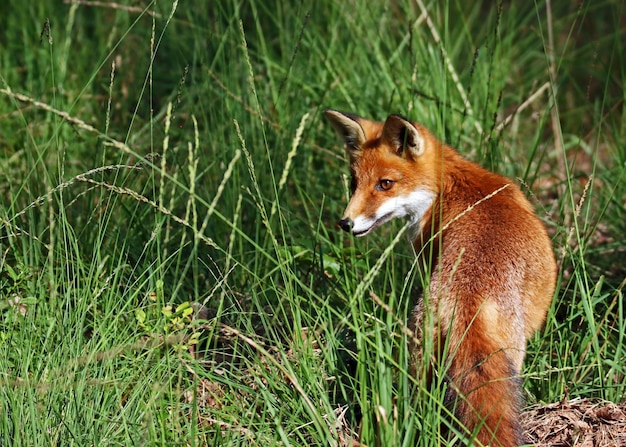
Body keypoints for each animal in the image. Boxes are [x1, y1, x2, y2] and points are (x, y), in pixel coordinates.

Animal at [324, 109, 552, 447]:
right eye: (355, 183)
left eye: (385, 184)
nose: (345, 223)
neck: (447, 187)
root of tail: (467, 298)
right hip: (511, 355)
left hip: (420, 362)